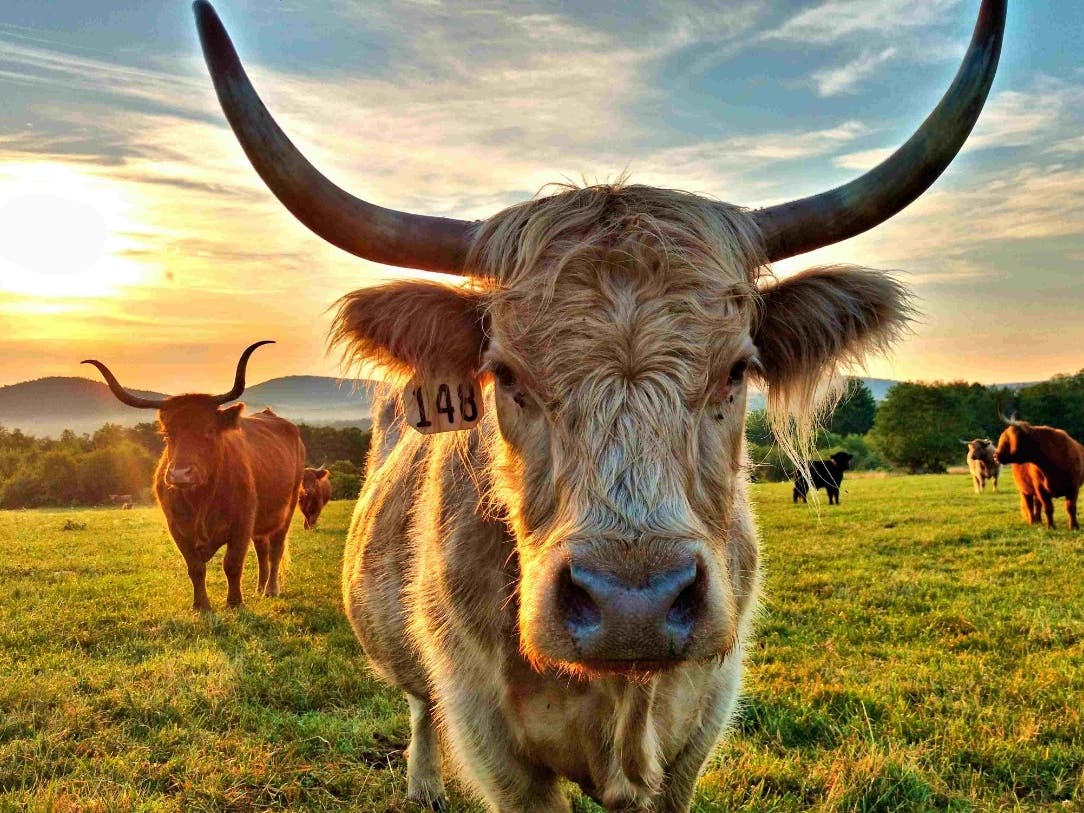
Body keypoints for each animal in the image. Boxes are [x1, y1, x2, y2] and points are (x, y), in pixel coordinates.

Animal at [82, 342, 306, 611]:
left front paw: (235, 603)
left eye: (209, 430)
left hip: (287, 509)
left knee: (275, 549)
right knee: (262, 548)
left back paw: (271, 589)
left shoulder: (242, 523)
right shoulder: (177, 528)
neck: (201, 500)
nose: (180, 474)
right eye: (167, 433)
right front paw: (201, 605)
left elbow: (232, 564)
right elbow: (196, 568)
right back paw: (260, 588)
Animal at [193, 0, 1004, 809]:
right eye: (506, 375)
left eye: (737, 370)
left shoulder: (698, 725)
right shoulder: (495, 744)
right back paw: (423, 781)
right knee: (418, 704)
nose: (631, 606)